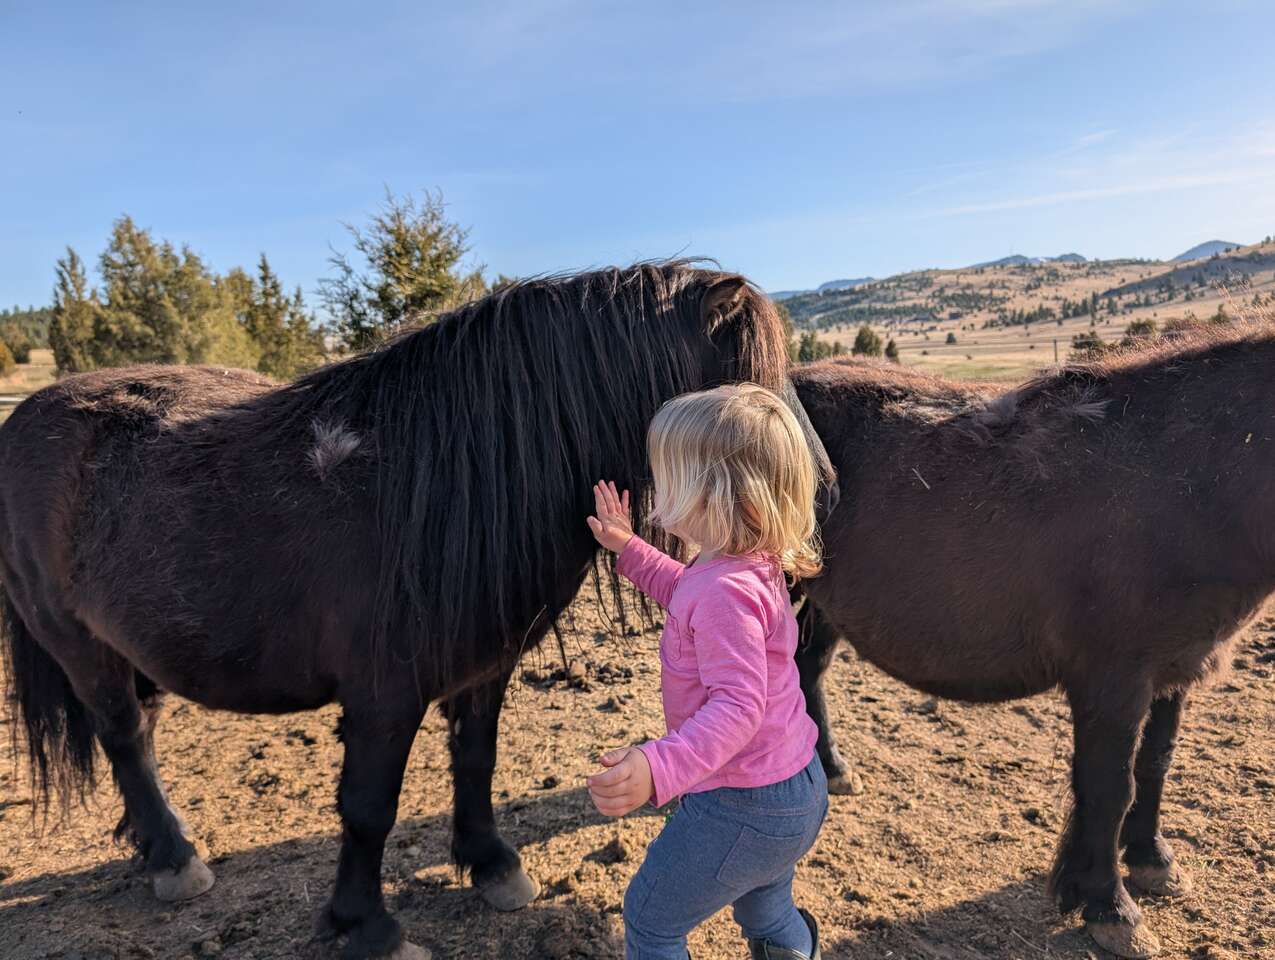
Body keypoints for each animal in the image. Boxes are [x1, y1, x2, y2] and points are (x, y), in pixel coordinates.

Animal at [0, 260, 836, 960]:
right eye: (753, 382)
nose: (820, 500)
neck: (435, 483)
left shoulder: (484, 670)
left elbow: (475, 760)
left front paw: (490, 864)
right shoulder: (383, 696)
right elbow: (369, 807)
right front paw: (366, 926)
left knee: (133, 738)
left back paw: (150, 844)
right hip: (78, 646)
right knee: (123, 738)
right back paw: (176, 859)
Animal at [788, 321, 1275, 959]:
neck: (1181, 480)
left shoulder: (1176, 668)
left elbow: (1156, 763)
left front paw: (1150, 861)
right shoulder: (1114, 680)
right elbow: (1109, 786)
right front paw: (1109, 904)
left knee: (807, 673)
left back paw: (831, 768)